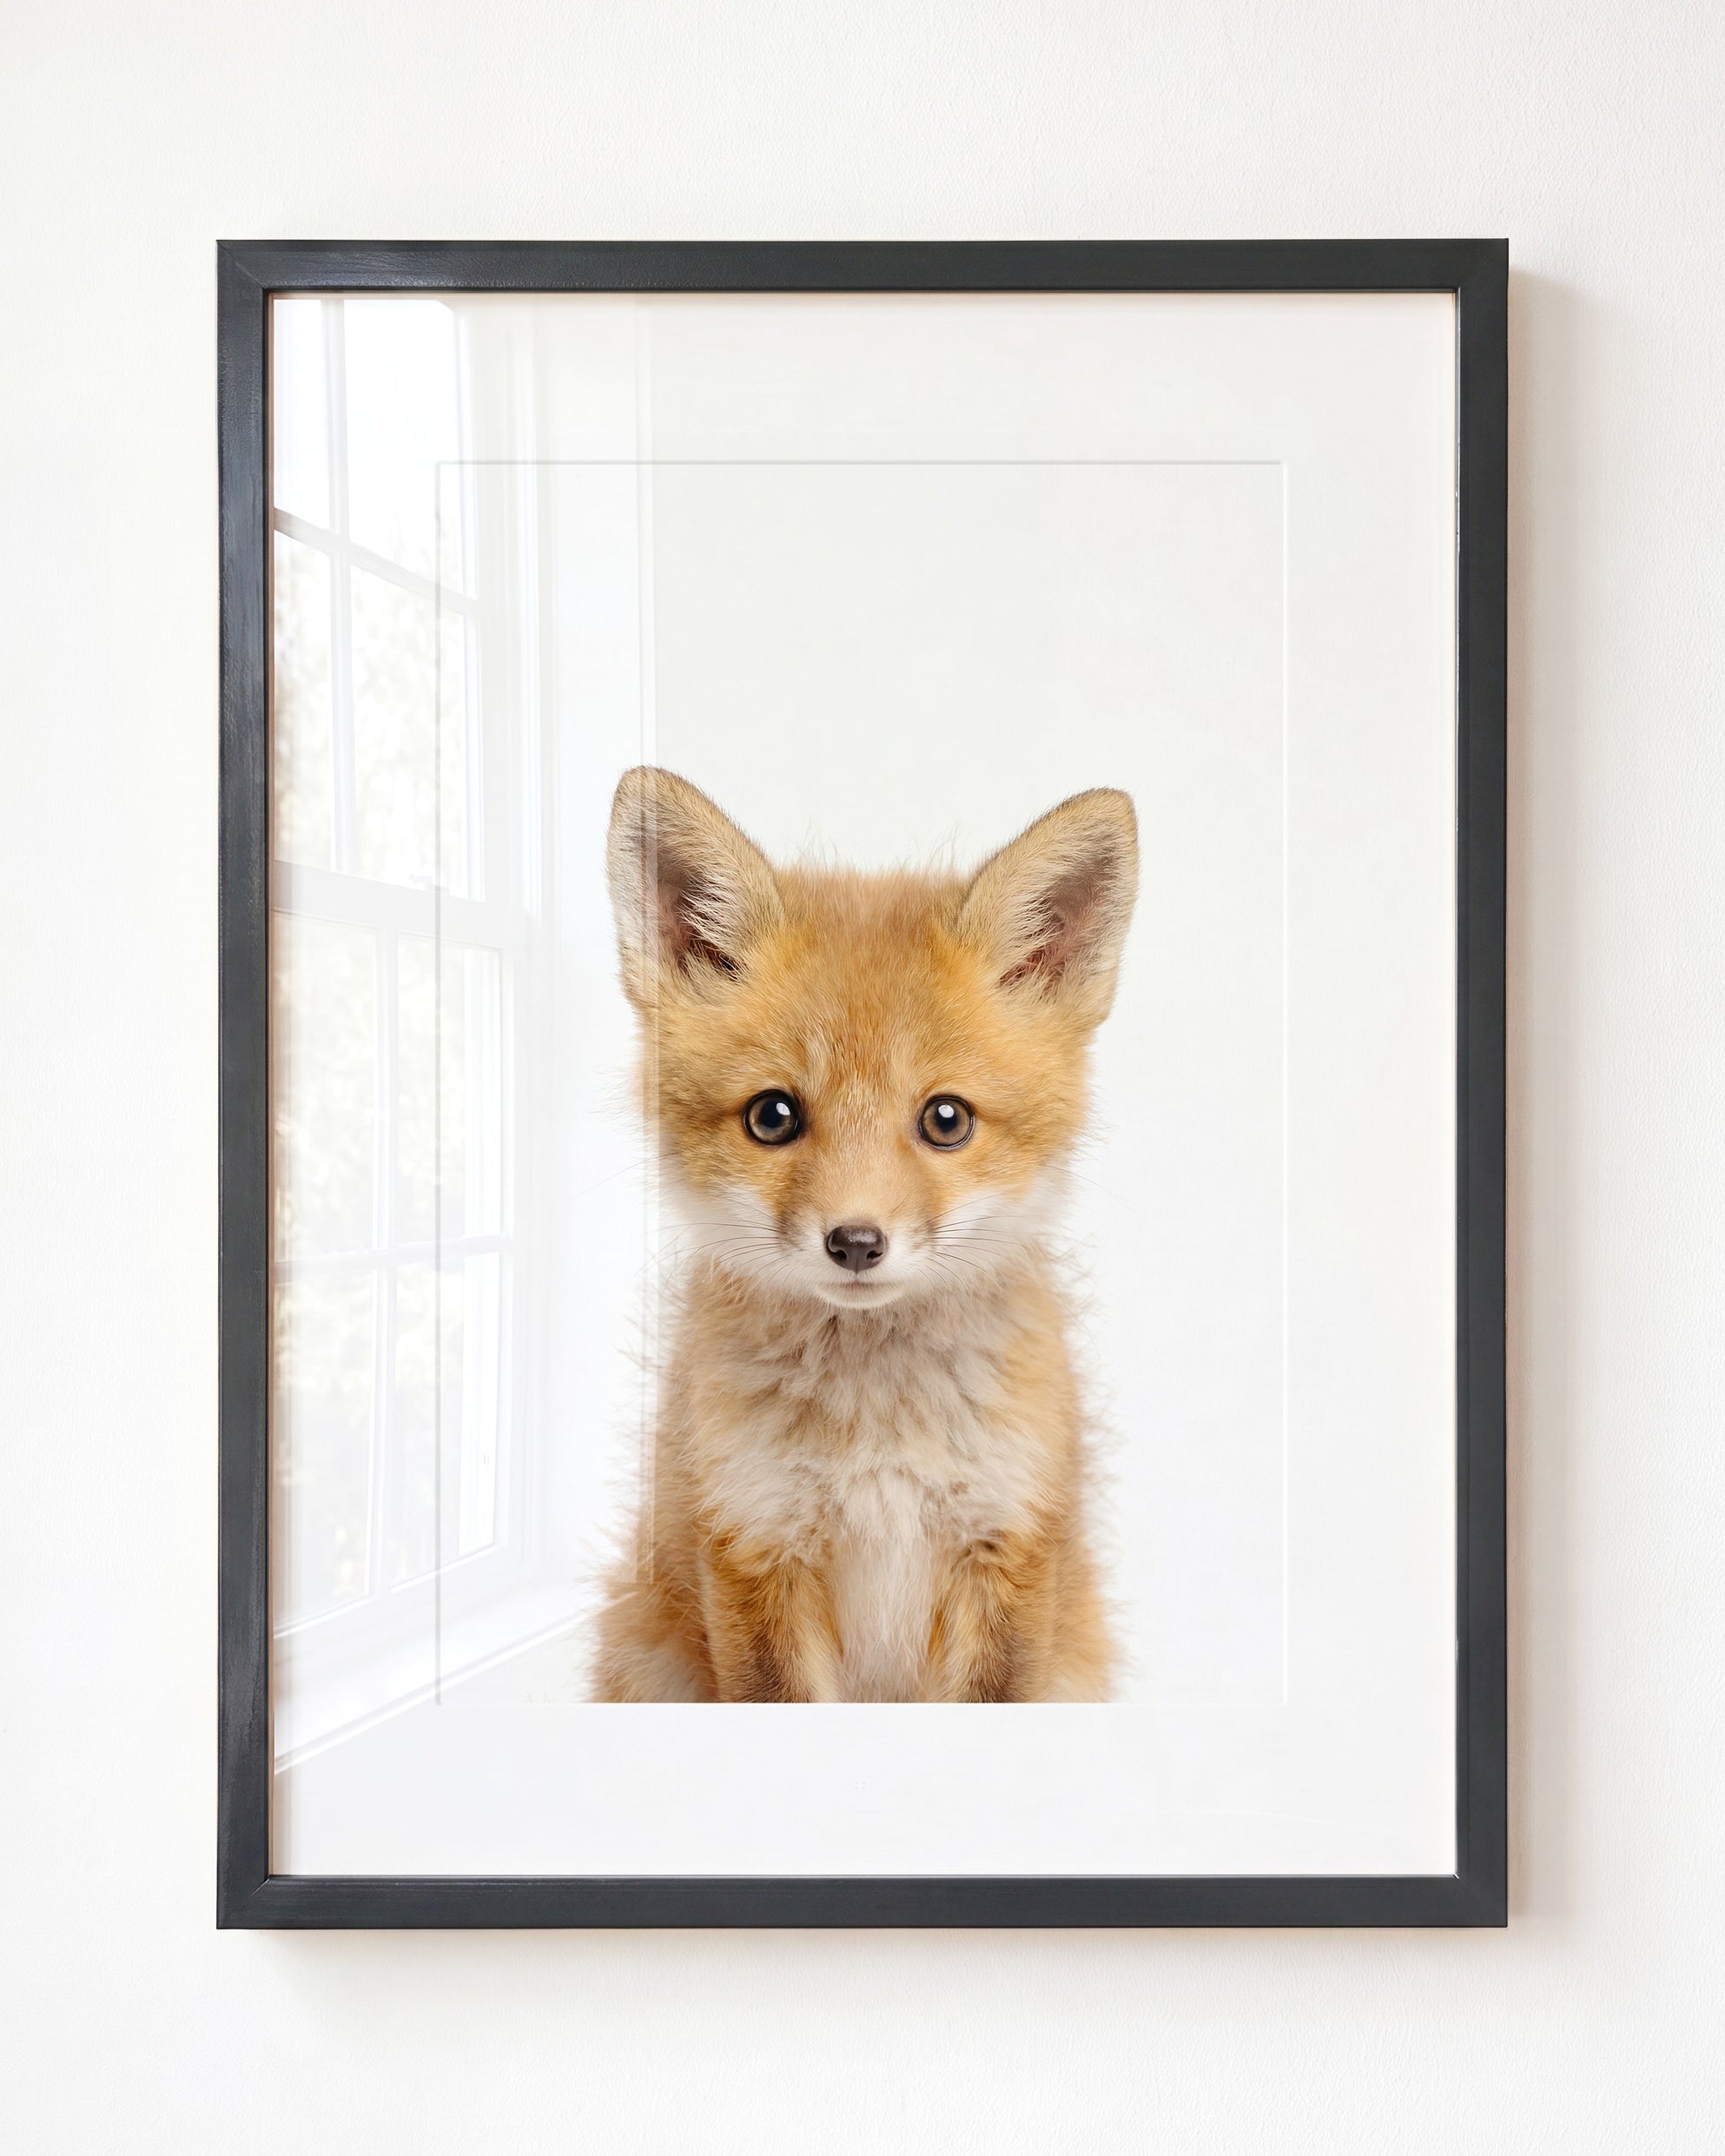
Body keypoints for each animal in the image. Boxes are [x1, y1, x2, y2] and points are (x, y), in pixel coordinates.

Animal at [590, 766, 1139, 1703]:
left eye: (946, 1120)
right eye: (772, 1116)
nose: (854, 1242)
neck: (877, 1441)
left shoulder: (1007, 1546)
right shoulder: (754, 1545)